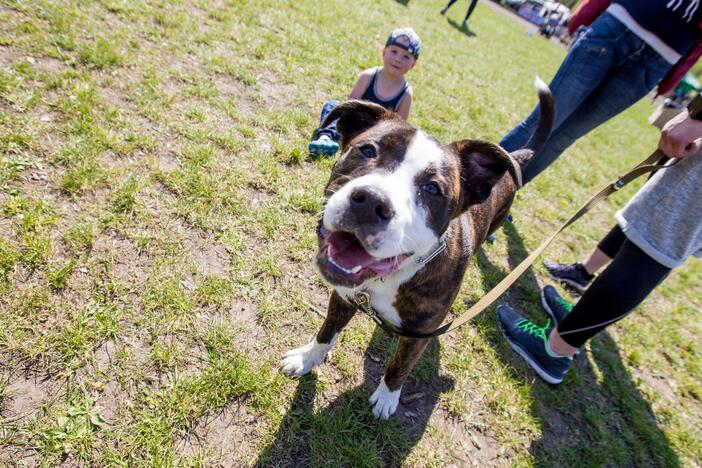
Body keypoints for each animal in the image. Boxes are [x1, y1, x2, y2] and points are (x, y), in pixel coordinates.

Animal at [282, 78, 556, 418]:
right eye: (368, 150)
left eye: (433, 189)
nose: (371, 202)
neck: (393, 275)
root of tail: (512, 160)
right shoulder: (344, 296)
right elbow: (326, 332)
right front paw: (307, 358)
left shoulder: (420, 335)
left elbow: (400, 367)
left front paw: (387, 398)